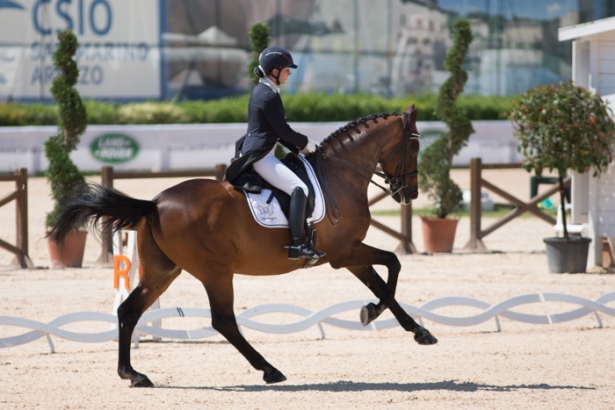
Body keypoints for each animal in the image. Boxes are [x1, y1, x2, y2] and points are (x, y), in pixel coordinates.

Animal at [51, 104, 438, 386]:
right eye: (415, 145)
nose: (410, 193)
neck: (340, 175)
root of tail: (155, 203)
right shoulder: (345, 253)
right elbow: (393, 266)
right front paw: (373, 312)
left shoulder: (350, 254)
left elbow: (382, 281)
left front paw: (417, 330)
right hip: (216, 272)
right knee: (224, 322)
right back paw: (270, 370)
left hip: (163, 271)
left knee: (128, 311)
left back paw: (132, 374)